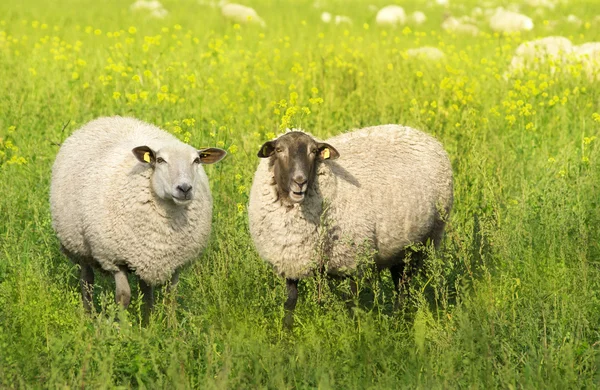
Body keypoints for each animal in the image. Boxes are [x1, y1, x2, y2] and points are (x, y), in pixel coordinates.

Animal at [49, 116, 226, 320]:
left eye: (196, 160)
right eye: (160, 160)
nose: (184, 188)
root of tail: (109, 118)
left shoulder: (176, 262)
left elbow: (170, 297)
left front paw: (170, 326)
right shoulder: (114, 258)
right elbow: (123, 297)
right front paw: (121, 326)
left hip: (144, 255)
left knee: (145, 288)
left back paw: (147, 320)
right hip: (78, 244)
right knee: (87, 280)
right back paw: (89, 315)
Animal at [246, 125, 452, 326]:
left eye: (313, 151)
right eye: (279, 150)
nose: (300, 181)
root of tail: (423, 134)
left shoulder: (351, 260)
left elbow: (352, 305)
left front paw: (355, 333)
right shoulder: (290, 261)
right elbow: (291, 302)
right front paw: (286, 332)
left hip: (427, 240)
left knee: (406, 286)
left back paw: (402, 321)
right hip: (401, 248)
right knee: (400, 282)